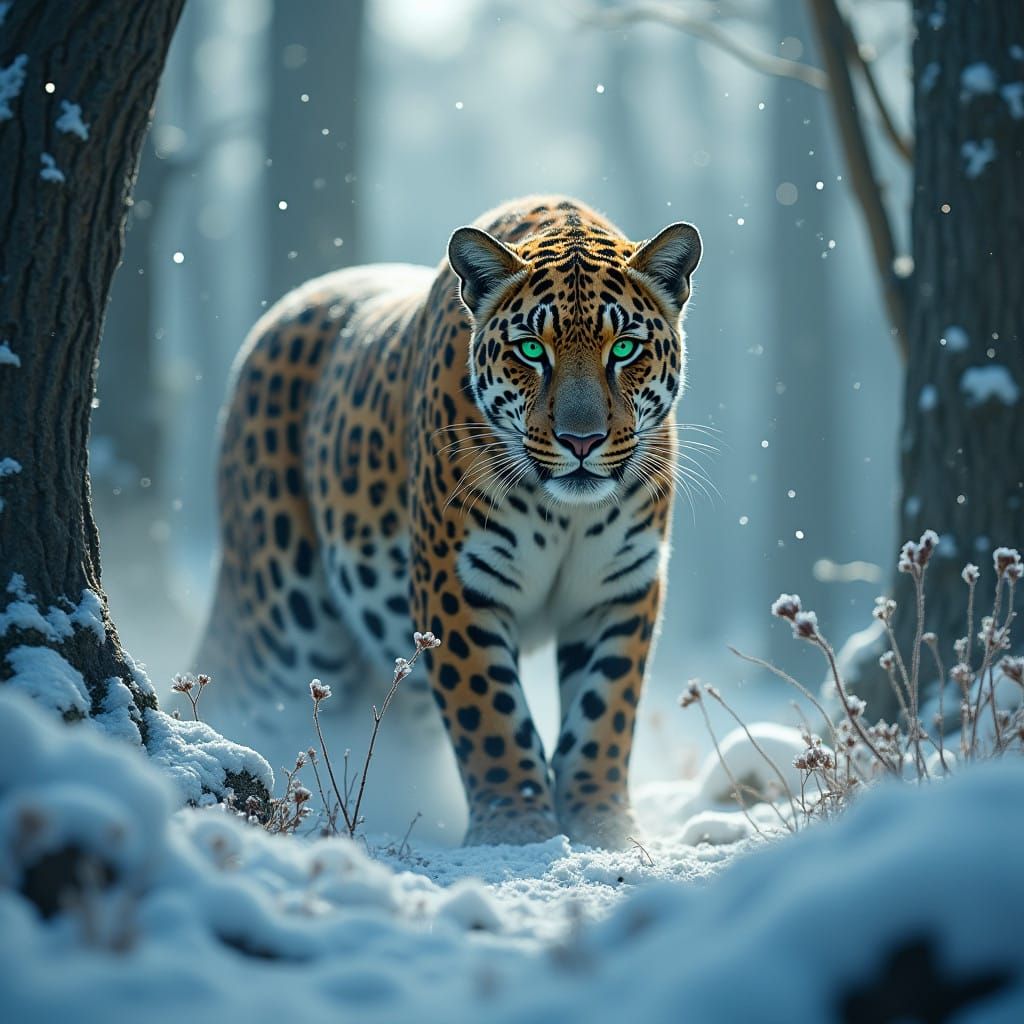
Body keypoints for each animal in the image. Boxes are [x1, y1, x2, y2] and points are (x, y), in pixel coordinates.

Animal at [195, 195, 702, 847]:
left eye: (624, 349)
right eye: (531, 350)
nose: (581, 441)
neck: (564, 513)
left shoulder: (619, 586)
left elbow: (604, 714)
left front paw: (603, 823)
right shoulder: (456, 583)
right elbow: (489, 715)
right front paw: (515, 826)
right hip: (282, 624)